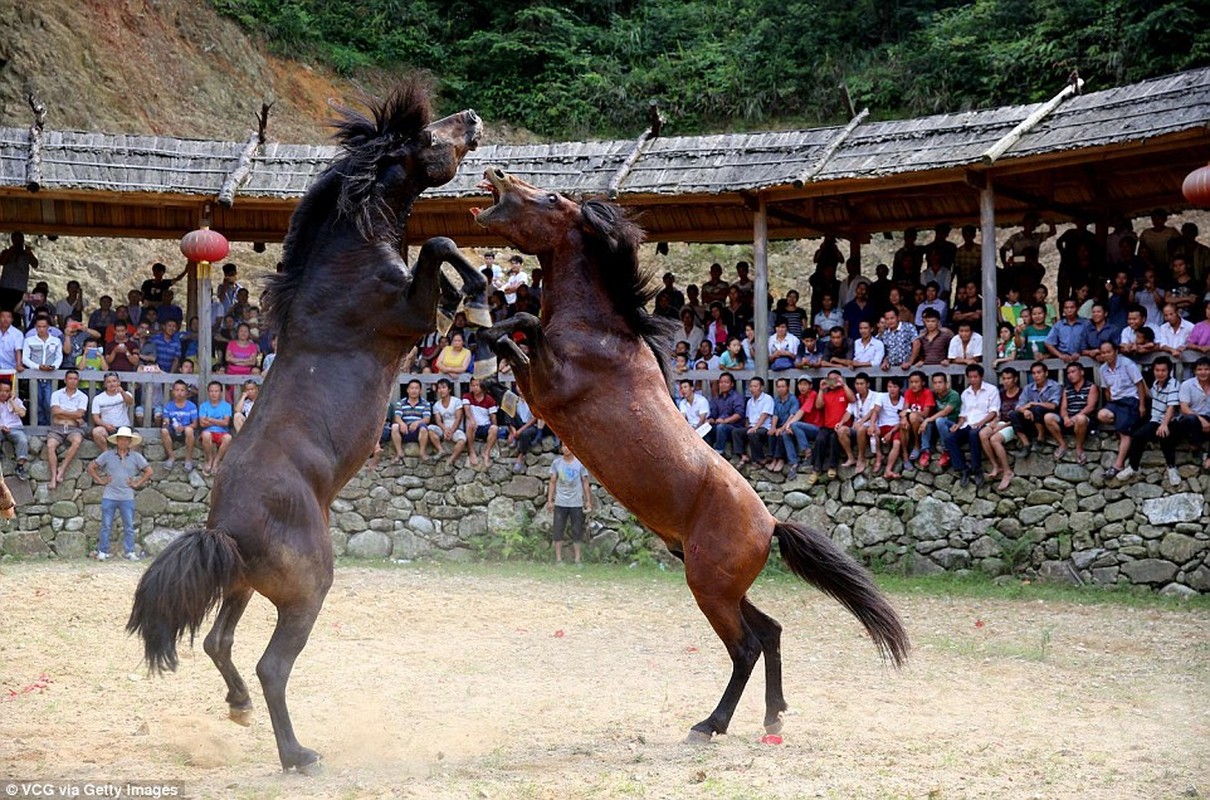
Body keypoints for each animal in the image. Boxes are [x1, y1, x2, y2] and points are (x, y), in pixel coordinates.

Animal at [122, 82, 481, 774]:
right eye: (426, 139)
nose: (473, 120)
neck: (346, 263)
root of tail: (225, 529)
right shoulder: (406, 313)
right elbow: (442, 248)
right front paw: (478, 291)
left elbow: (444, 261)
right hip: (308, 588)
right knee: (271, 666)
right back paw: (296, 753)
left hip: (242, 586)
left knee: (218, 642)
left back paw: (239, 710)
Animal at [471, 168, 909, 740]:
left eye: (549, 197)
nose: (497, 174)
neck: (600, 332)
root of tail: (771, 524)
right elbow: (516, 335)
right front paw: (484, 356)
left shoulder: (549, 385)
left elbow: (521, 322)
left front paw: (482, 336)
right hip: (725, 588)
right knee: (771, 631)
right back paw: (773, 714)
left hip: (709, 589)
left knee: (745, 647)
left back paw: (711, 723)